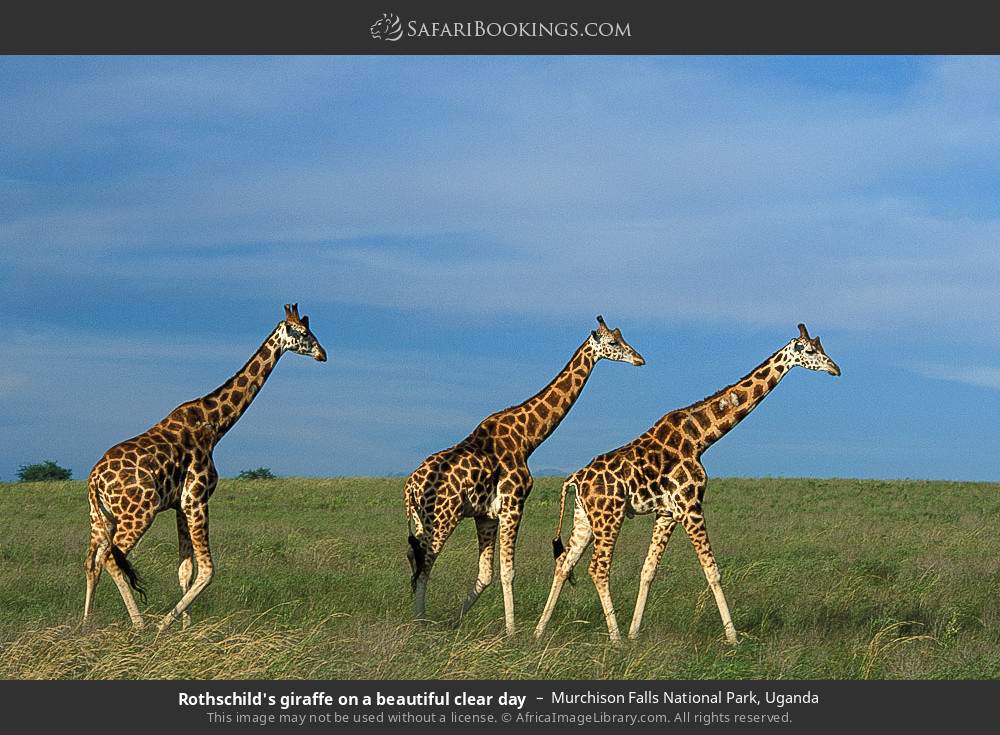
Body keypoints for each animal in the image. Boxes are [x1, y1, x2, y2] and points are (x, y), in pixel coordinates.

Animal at [81, 304, 326, 632]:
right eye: (304, 333)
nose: (323, 354)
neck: (216, 425)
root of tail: (94, 481)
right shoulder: (196, 497)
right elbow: (207, 570)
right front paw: (165, 627)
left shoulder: (179, 505)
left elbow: (184, 570)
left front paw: (184, 629)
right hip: (138, 513)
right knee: (110, 557)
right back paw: (140, 625)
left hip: (100, 517)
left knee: (92, 561)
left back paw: (85, 625)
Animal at [406, 314, 648, 632]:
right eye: (612, 342)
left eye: (623, 338)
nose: (640, 359)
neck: (528, 438)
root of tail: (410, 486)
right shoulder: (513, 504)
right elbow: (508, 571)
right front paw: (512, 632)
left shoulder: (486, 514)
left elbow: (486, 574)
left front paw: (455, 623)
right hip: (443, 517)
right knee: (426, 562)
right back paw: (419, 623)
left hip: (422, 520)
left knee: (416, 557)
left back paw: (417, 618)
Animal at [536, 324, 840, 640]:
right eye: (810, 351)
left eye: (822, 347)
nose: (836, 368)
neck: (700, 438)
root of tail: (574, 478)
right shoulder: (691, 505)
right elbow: (712, 570)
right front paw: (733, 637)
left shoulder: (667, 513)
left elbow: (648, 570)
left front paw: (635, 634)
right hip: (609, 515)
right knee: (598, 568)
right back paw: (614, 638)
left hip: (584, 517)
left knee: (564, 562)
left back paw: (540, 630)